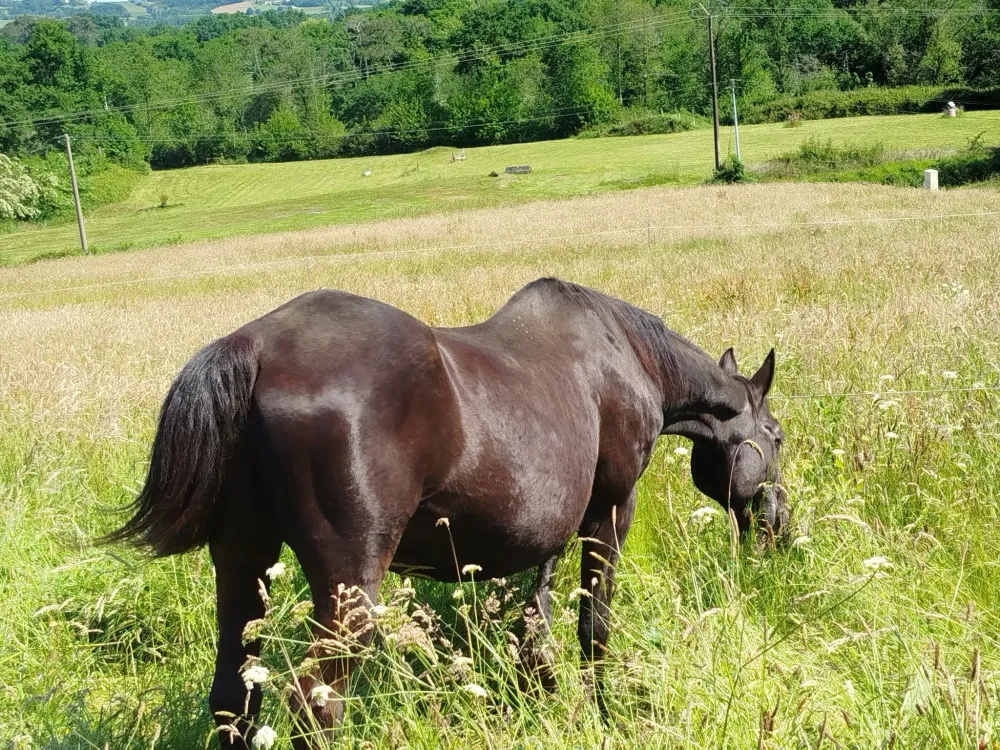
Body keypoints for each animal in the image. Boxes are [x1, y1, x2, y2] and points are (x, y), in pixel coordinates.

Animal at [107, 277, 787, 749]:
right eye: (776, 436)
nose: (777, 524)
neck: (626, 356)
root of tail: (251, 348)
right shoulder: (609, 513)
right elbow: (593, 625)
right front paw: (605, 712)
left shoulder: (546, 536)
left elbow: (535, 624)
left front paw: (542, 694)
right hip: (348, 587)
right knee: (315, 704)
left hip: (242, 564)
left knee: (233, 695)